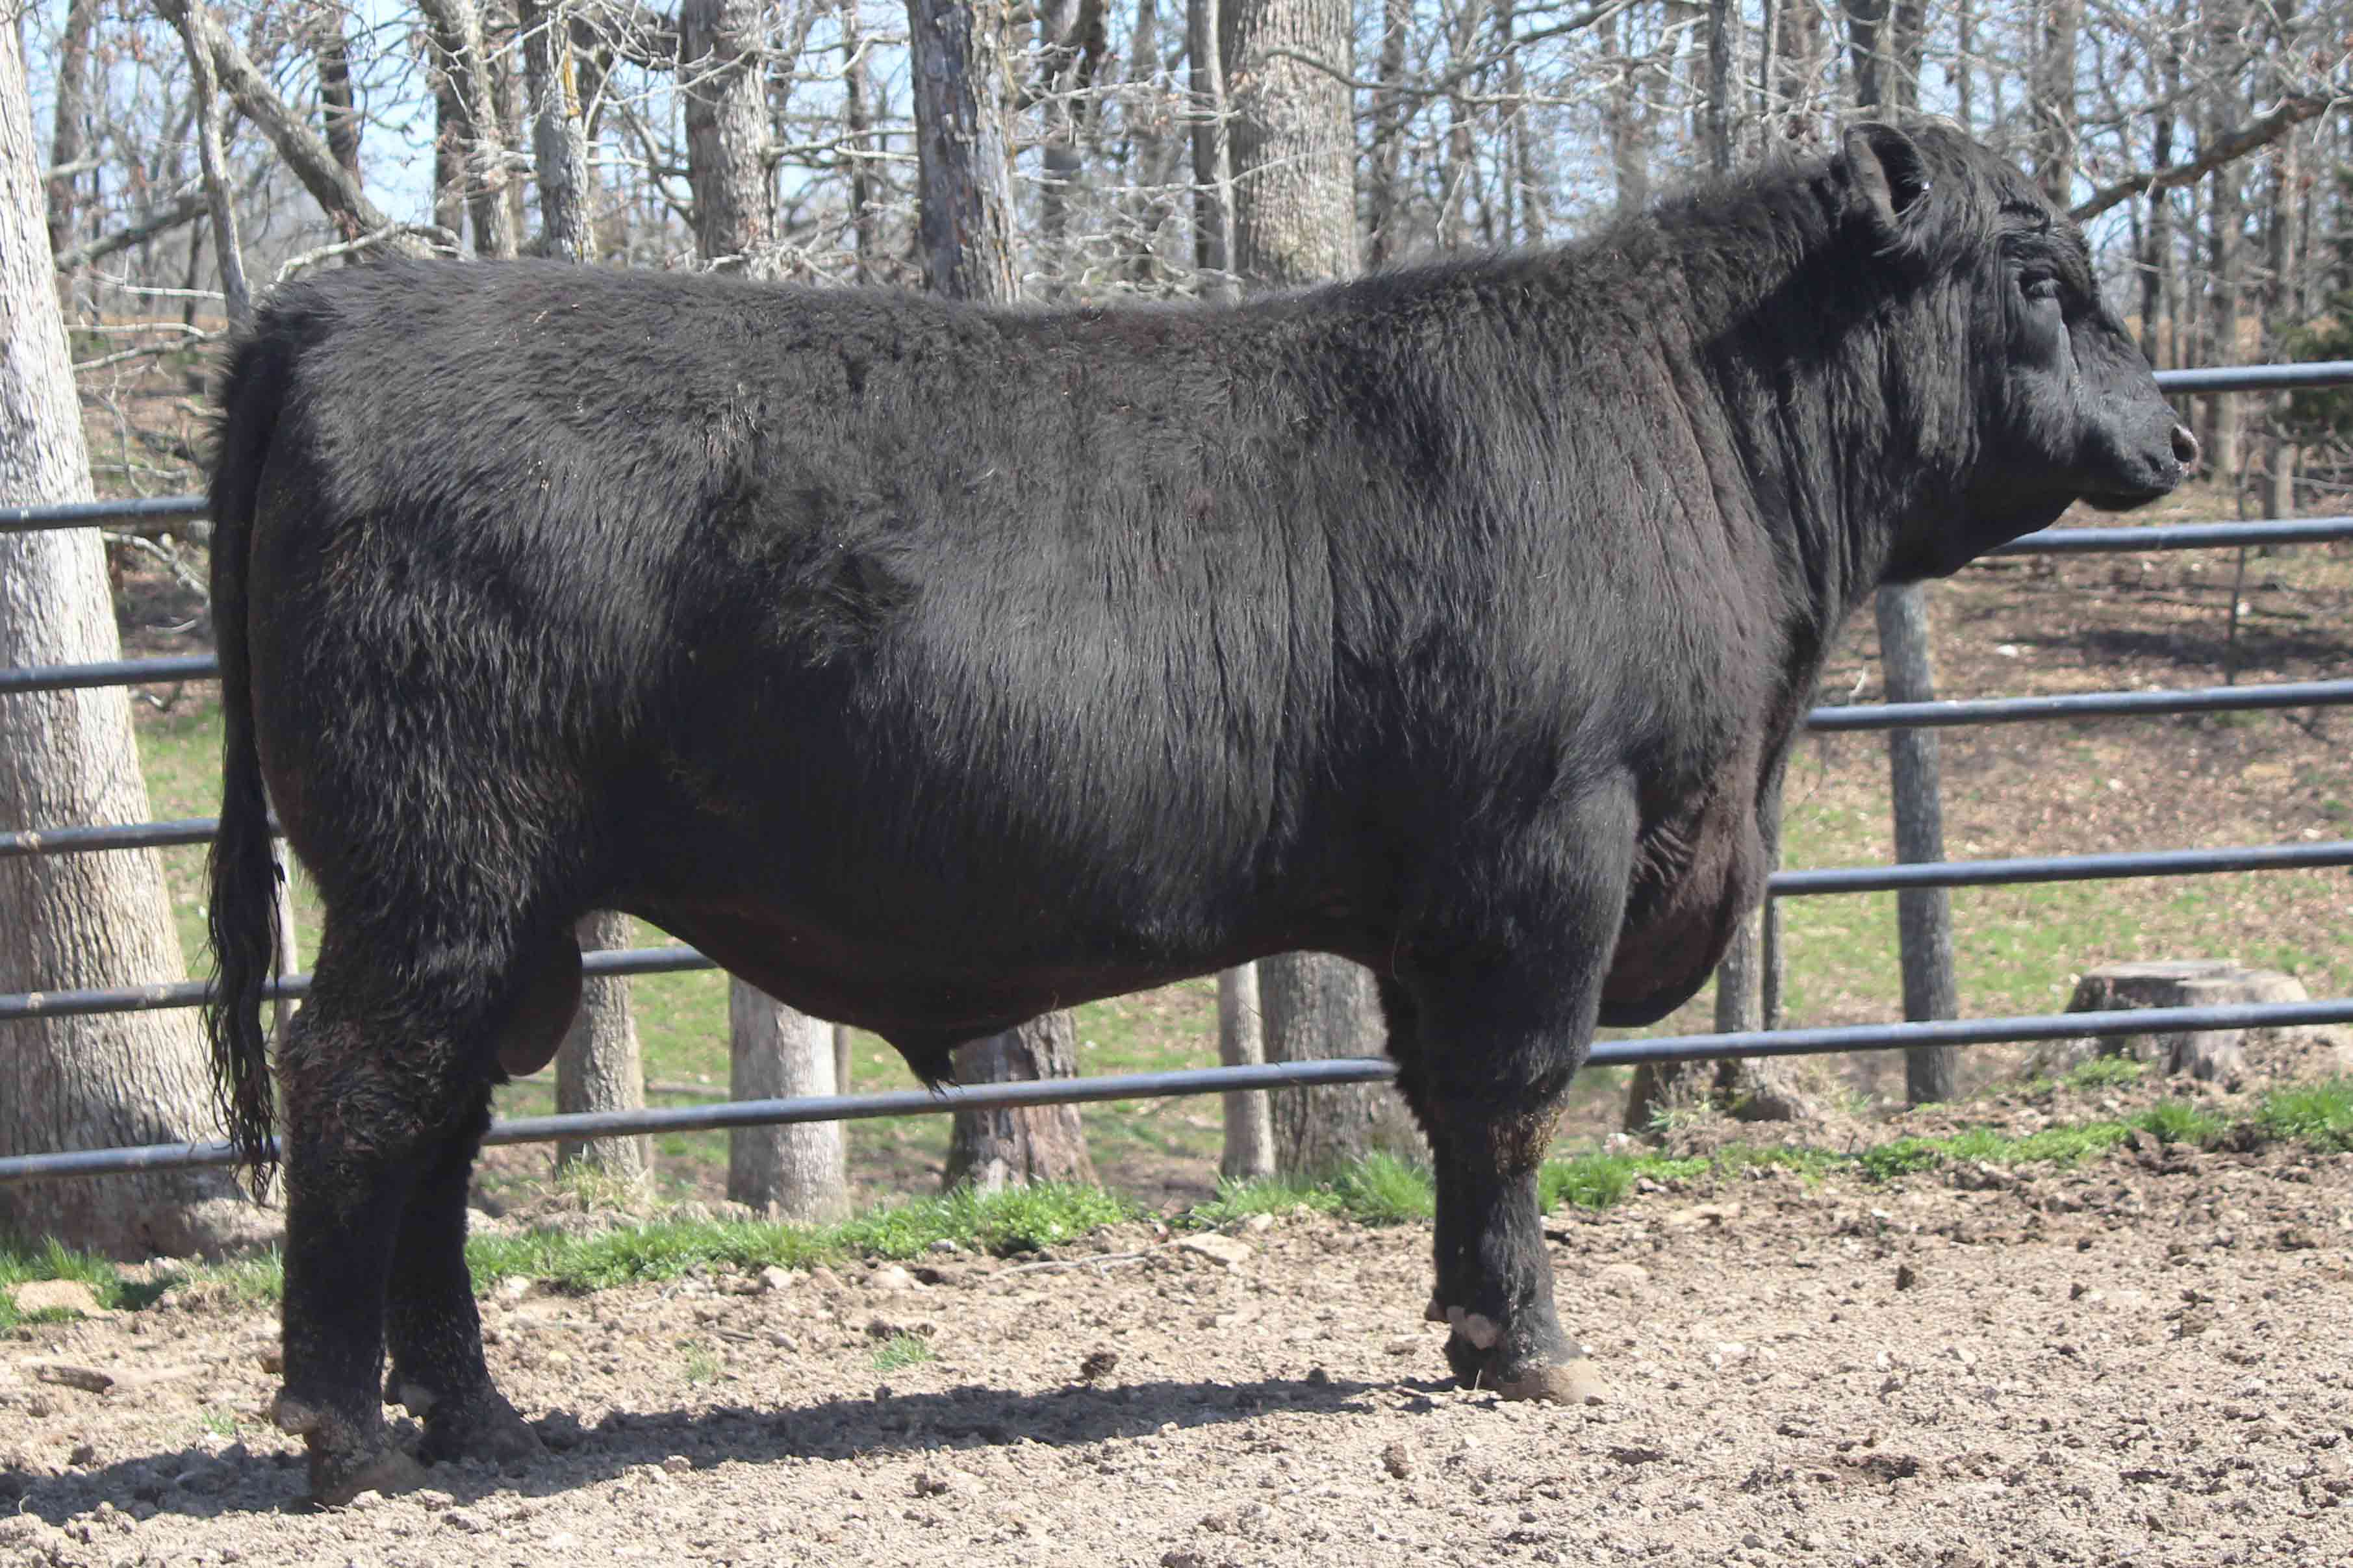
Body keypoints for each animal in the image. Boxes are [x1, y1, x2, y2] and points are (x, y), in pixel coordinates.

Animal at [205, 121, 2192, 1503]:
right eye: (2037, 276)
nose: (2172, 437)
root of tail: (344, 298)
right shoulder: (1548, 854)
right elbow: (1511, 1101)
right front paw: (1532, 1342)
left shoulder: (1436, 899)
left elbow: (1445, 1112)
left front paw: (1469, 1327)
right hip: (432, 869)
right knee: (362, 1090)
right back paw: (348, 1430)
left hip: (505, 905)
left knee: (440, 1129)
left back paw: (475, 1411)